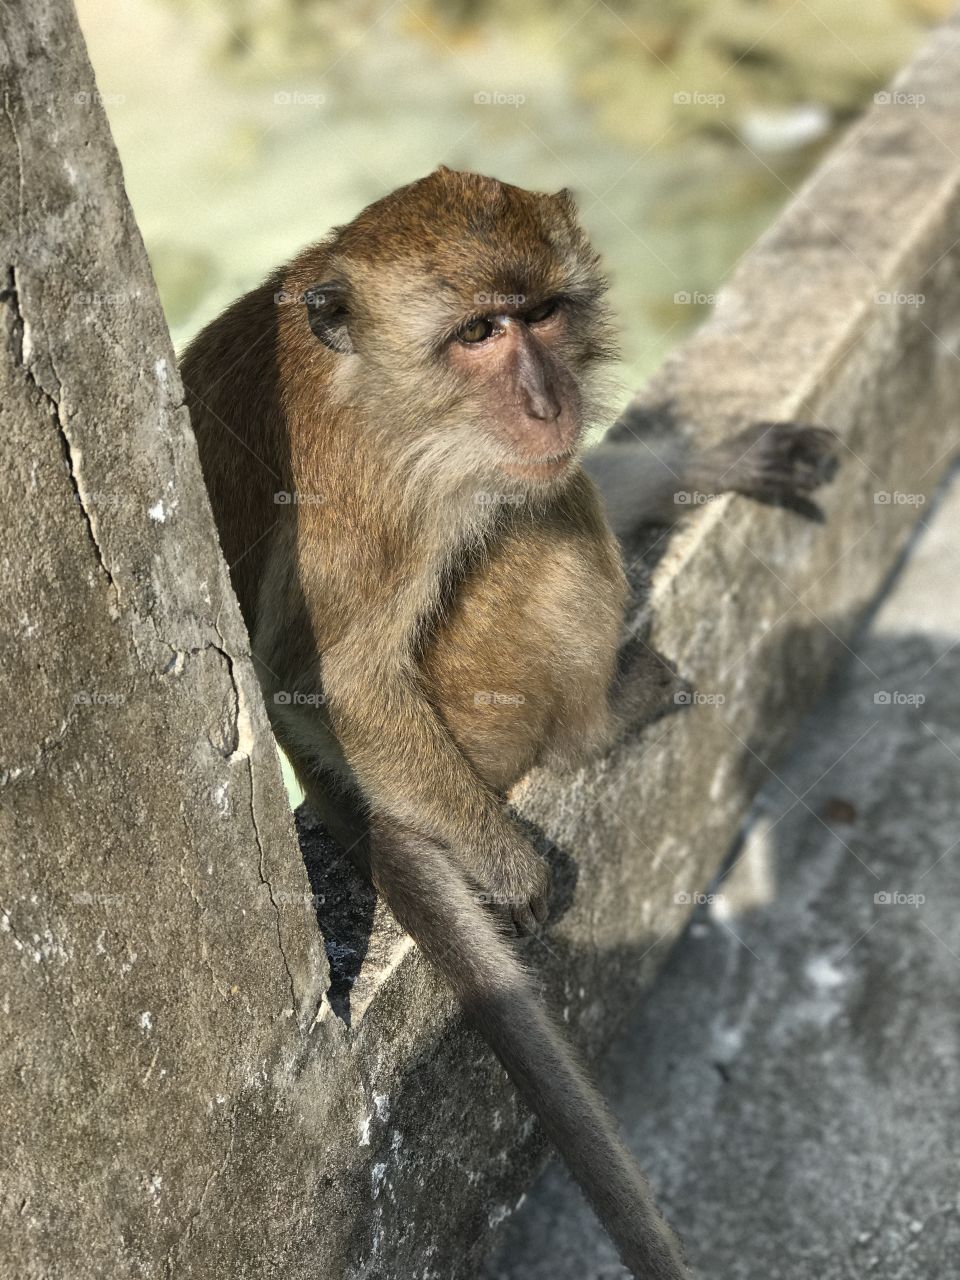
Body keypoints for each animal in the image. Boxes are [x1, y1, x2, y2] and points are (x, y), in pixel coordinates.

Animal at [180, 167, 837, 1279]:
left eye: (544, 313)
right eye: (480, 331)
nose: (547, 397)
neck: (389, 390)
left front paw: (718, 459)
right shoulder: (373, 491)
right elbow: (321, 679)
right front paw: (510, 865)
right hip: (478, 708)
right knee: (543, 516)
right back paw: (600, 719)